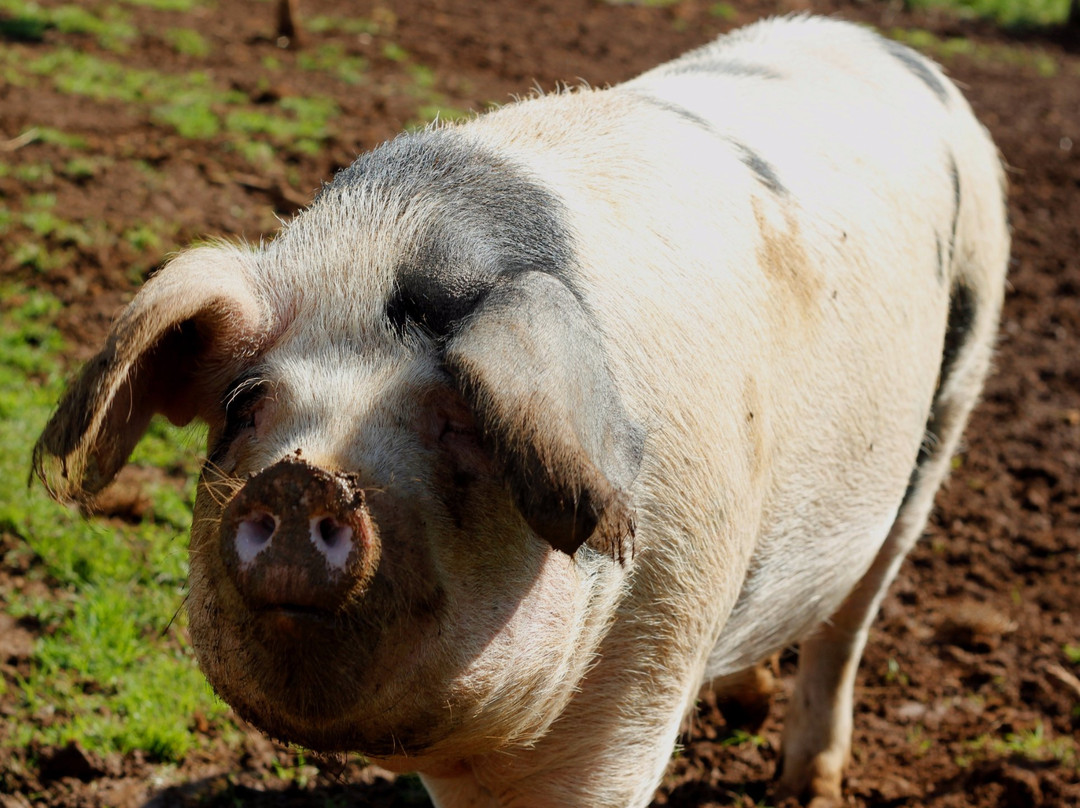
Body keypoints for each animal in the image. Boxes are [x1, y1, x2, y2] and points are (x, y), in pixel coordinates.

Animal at [35, 14, 1010, 808]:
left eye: (462, 420)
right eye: (244, 404)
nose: (300, 478)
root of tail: (888, 47)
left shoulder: (644, 671)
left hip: (952, 398)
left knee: (853, 616)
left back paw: (809, 787)